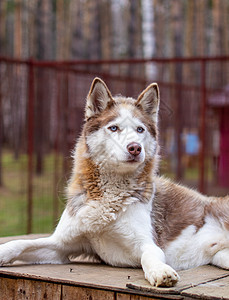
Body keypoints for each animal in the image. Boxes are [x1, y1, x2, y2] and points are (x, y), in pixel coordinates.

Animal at [0, 77, 229, 286]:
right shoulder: (60, 247)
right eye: (113, 128)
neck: (111, 194)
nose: (135, 148)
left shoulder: (147, 243)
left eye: (140, 129)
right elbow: (21, 243)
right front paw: (3, 252)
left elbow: (149, 255)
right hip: (221, 256)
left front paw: (160, 271)